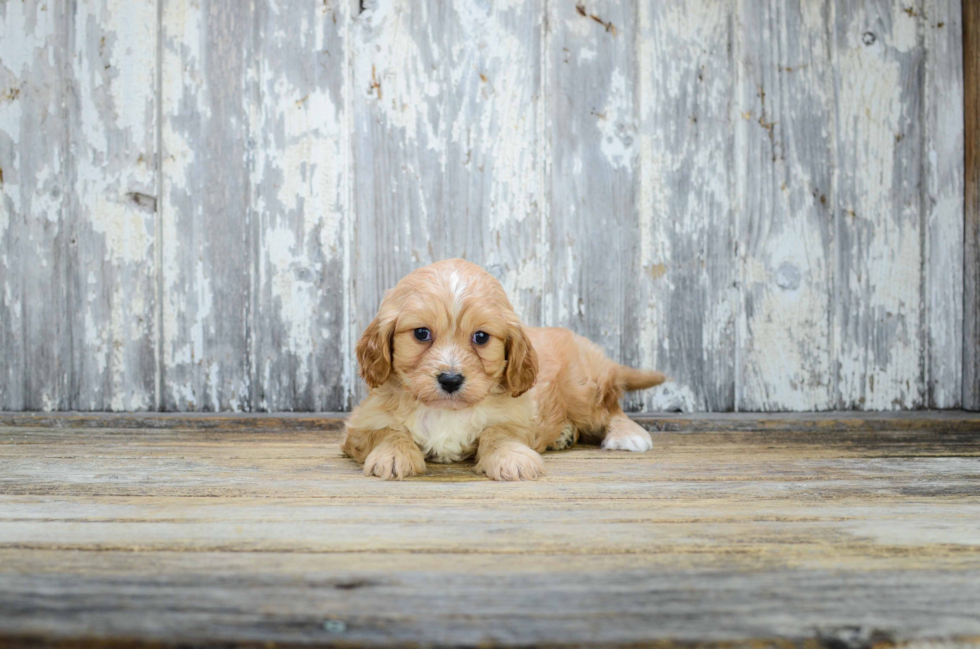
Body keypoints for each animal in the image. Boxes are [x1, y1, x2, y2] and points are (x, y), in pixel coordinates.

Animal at [340, 260, 668, 480]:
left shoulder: (518, 417)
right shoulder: (362, 422)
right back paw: (563, 434)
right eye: (421, 333)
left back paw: (627, 435)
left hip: (582, 389)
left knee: (610, 409)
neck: (447, 410)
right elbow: (387, 431)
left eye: (481, 337)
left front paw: (512, 458)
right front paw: (393, 454)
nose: (450, 379)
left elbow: (498, 431)